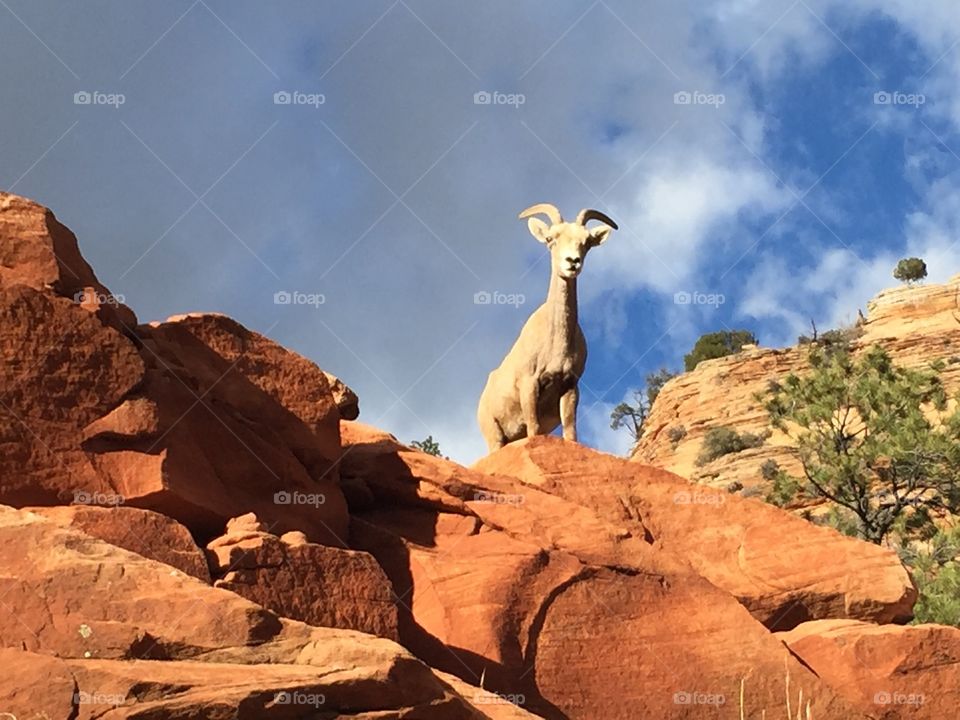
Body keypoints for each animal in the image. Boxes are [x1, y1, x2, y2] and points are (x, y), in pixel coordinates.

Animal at [477, 203, 617, 453]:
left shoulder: (570, 387)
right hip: (494, 435)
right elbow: (533, 430)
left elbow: (570, 433)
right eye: (551, 238)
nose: (572, 262)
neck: (555, 345)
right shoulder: (529, 385)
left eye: (586, 242)